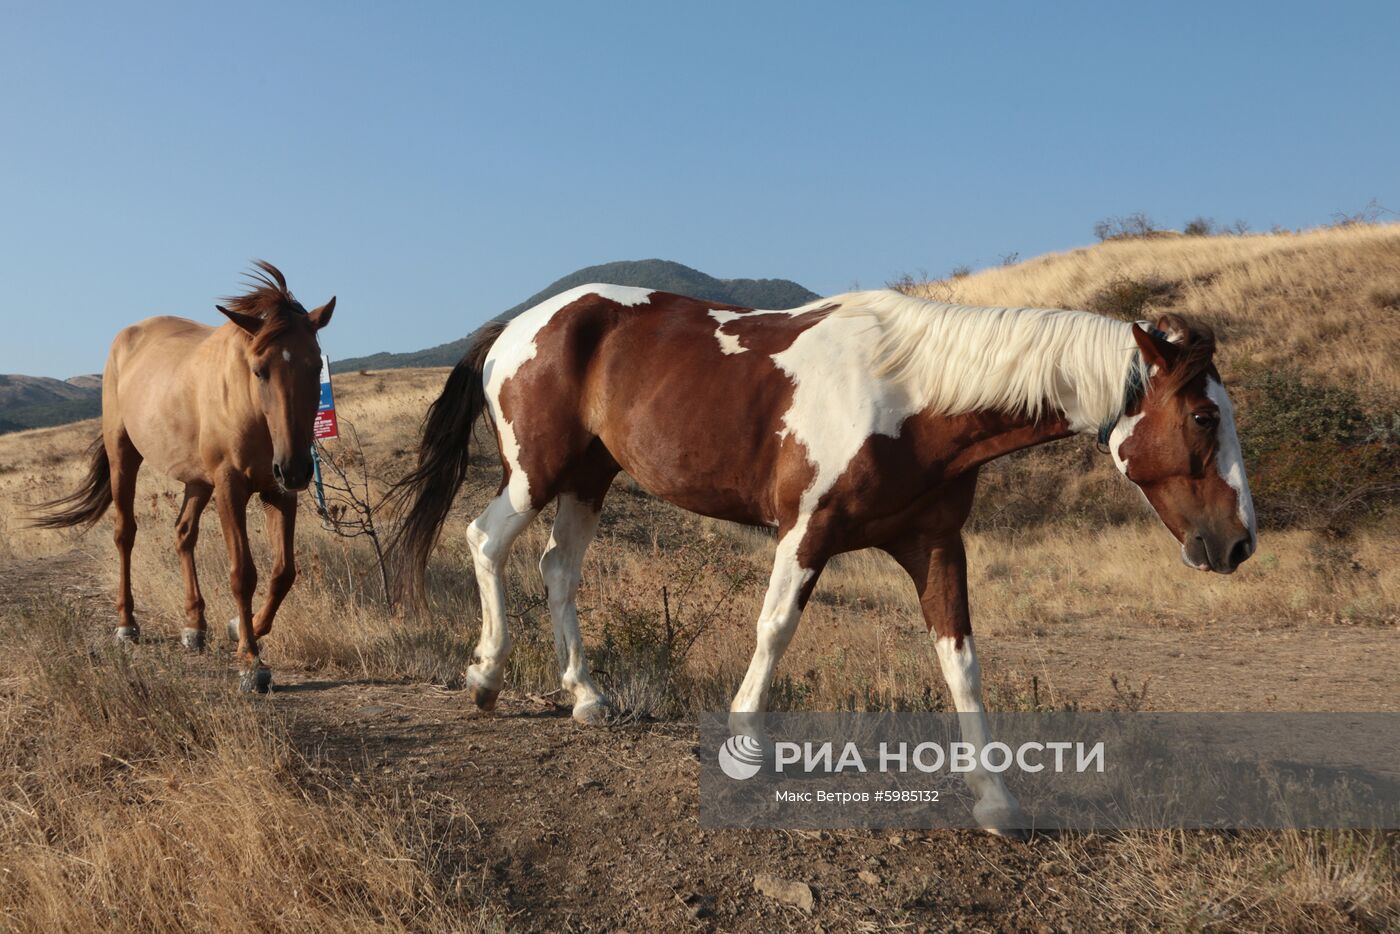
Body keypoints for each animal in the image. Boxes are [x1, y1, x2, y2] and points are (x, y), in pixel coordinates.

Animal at [34, 263, 334, 694]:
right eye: (260, 370)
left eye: (315, 367)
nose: (294, 467)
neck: (247, 406)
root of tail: (129, 335)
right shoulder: (230, 488)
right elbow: (243, 573)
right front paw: (251, 662)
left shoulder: (279, 493)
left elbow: (283, 572)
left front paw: (241, 628)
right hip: (124, 456)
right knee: (125, 534)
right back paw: (127, 624)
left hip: (197, 480)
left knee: (183, 533)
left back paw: (195, 625)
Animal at [389, 282, 1254, 834]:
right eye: (1204, 416)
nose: (1239, 542)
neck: (913, 397)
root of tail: (515, 327)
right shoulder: (806, 530)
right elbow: (775, 628)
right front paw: (743, 749)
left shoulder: (935, 546)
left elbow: (962, 662)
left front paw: (996, 800)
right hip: (536, 473)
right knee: (485, 542)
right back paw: (485, 676)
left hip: (588, 479)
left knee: (558, 572)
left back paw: (586, 695)